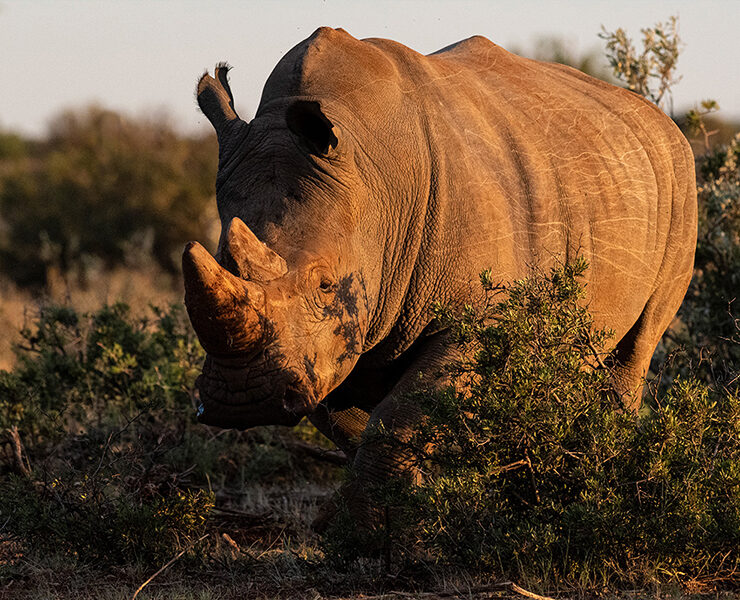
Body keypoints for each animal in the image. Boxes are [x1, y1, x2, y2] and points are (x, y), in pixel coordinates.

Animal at [184, 27, 696, 524]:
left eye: (325, 284)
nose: (242, 397)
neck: (374, 180)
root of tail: (661, 120)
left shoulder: (475, 319)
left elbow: (400, 414)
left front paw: (367, 531)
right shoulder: (328, 348)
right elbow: (366, 423)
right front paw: (404, 511)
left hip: (681, 185)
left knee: (636, 349)